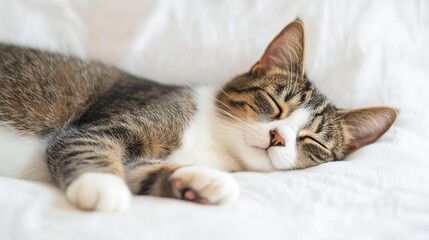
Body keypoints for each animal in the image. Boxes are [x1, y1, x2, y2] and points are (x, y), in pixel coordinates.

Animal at [0, 20, 398, 210]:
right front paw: (102, 186)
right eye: (273, 103)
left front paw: (197, 181)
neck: (214, 141)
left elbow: (139, 170)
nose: (277, 137)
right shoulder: (104, 125)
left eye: (311, 140)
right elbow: (87, 143)